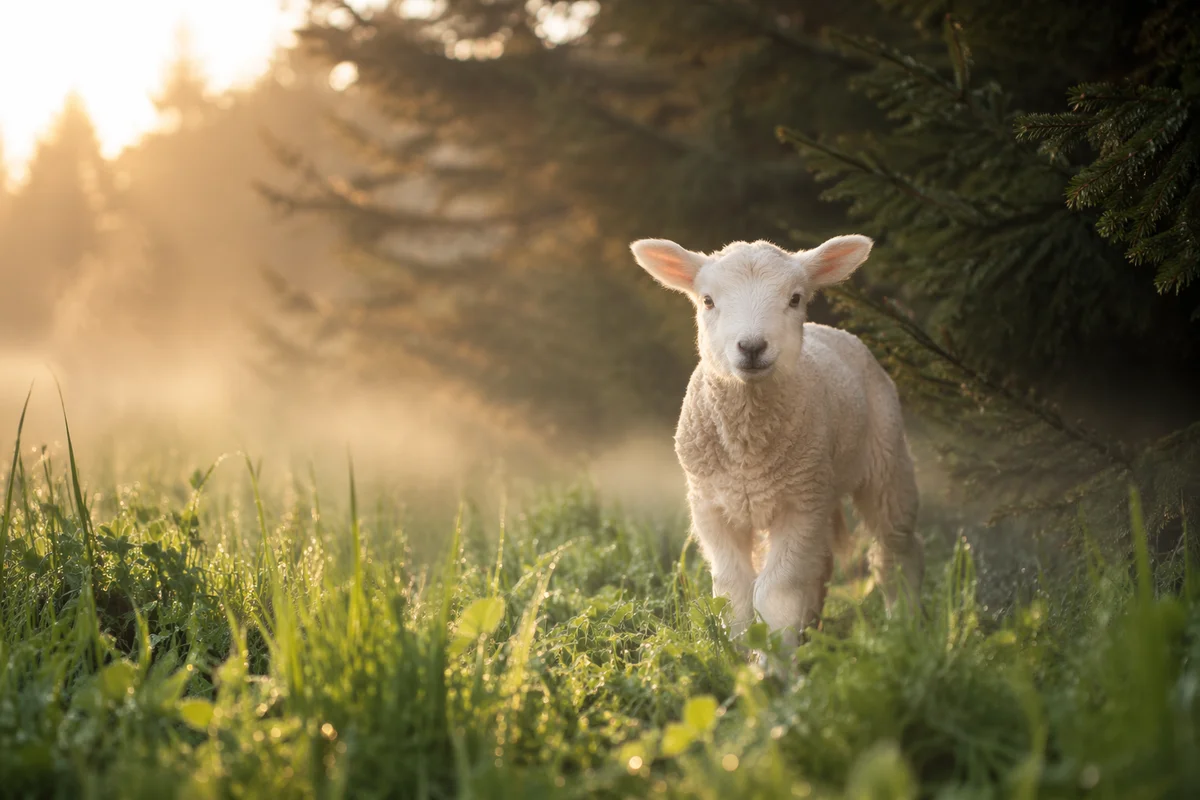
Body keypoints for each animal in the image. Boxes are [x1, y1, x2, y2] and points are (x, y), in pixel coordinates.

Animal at [630, 235, 923, 646]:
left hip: (885, 457)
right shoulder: (711, 507)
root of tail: (829, 330)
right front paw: (737, 652)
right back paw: (813, 632)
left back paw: (906, 628)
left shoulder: (798, 504)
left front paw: (775, 658)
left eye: (795, 298)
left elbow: (776, 594)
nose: (752, 347)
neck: (747, 450)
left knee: (895, 550)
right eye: (708, 300)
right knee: (822, 564)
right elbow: (734, 590)